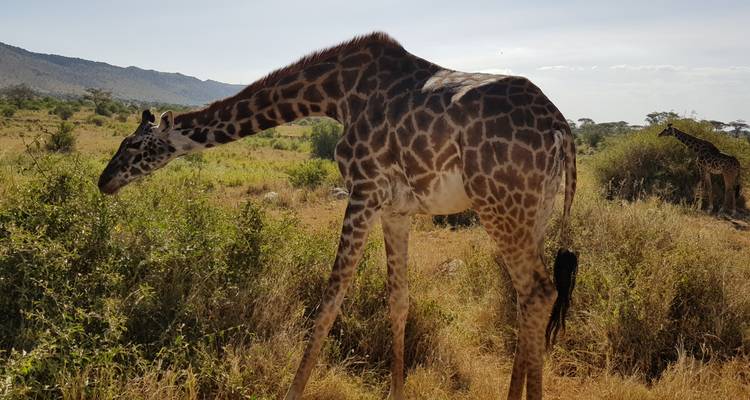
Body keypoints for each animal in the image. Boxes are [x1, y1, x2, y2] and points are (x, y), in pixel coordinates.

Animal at [98, 32, 578, 400]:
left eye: (134, 145)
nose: (105, 181)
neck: (336, 94)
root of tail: (561, 127)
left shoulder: (362, 191)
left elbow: (330, 300)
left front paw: (292, 392)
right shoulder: (396, 208)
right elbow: (398, 299)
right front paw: (395, 392)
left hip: (500, 204)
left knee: (538, 292)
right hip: (534, 211)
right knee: (526, 297)